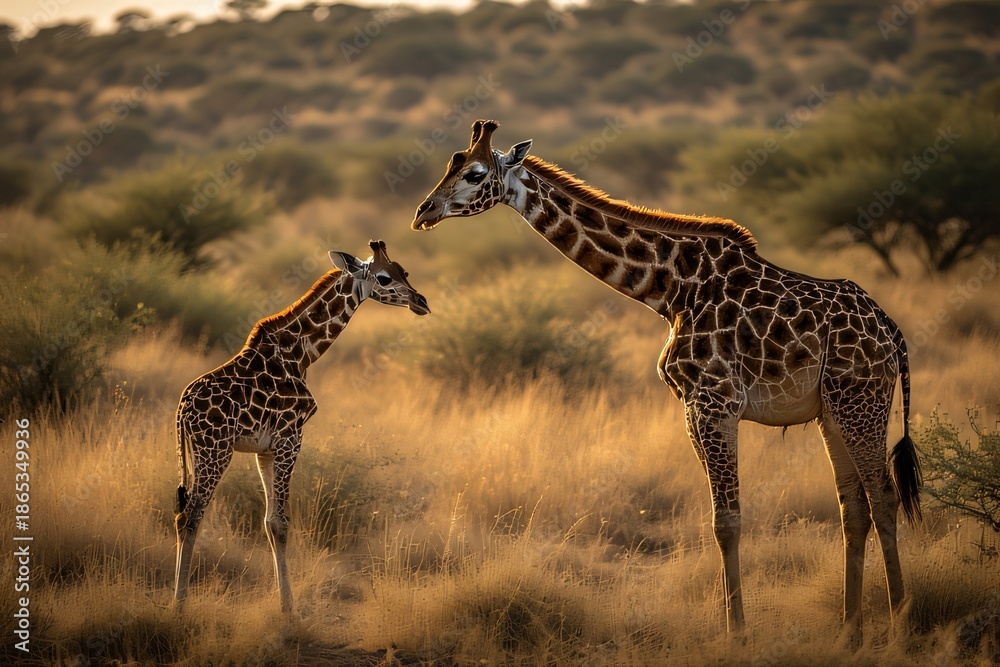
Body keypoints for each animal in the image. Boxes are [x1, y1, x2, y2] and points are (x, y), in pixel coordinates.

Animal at [172, 240, 430, 612]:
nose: (421, 302)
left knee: (182, 513)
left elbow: (269, 523)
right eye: (383, 277)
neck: (302, 354)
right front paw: (289, 611)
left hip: (195, 453)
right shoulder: (290, 437)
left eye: (404, 271)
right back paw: (178, 605)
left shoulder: (264, 449)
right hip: (215, 451)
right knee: (190, 516)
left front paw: (285, 604)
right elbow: (281, 524)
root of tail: (182, 410)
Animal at [411, 120, 921, 642]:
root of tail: (892, 334)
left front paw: (737, 634)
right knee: (854, 509)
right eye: (451, 164)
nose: (423, 213)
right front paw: (737, 627)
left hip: (860, 402)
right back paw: (850, 633)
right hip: (833, 412)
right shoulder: (693, 408)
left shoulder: (714, 401)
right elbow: (722, 520)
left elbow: (726, 522)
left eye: (475, 174)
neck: (671, 289)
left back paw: (901, 623)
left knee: (884, 498)